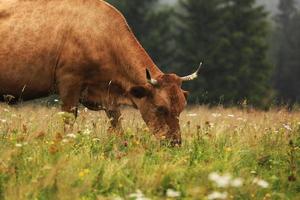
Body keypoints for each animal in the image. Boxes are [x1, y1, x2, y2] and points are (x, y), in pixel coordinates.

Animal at [1, 0, 202, 145]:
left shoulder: (109, 97)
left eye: (182, 107)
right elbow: (68, 121)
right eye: (160, 108)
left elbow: (118, 128)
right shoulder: (69, 82)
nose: (175, 142)